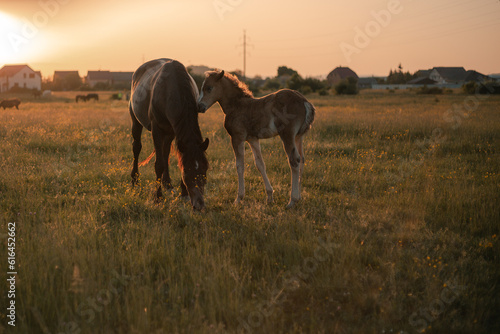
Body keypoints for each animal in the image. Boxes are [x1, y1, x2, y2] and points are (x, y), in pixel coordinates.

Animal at [129, 58, 209, 210]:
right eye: (187, 172)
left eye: (205, 170)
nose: (200, 204)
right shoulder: (156, 129)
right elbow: (159, 164)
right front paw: (158, 198)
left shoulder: (176, 130)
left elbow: (176, 157)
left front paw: (183, 193)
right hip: (136, 120)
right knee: (136, 147)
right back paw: (134, 180)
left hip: (169, 132)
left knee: (165, 152)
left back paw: (167, 184)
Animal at [197, 70, 314, 207]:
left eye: (209, 88)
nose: (199, 107)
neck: (236, 106)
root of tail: (304, 101)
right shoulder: (253, 139)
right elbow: (260, 164)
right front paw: (269, 196)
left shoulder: (237, 137)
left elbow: (240, 166)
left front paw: (238, 198)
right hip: (298, 137)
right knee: (302, 160)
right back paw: (299, 197)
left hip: (287, 135)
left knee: (294, 160)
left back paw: (292, 200)